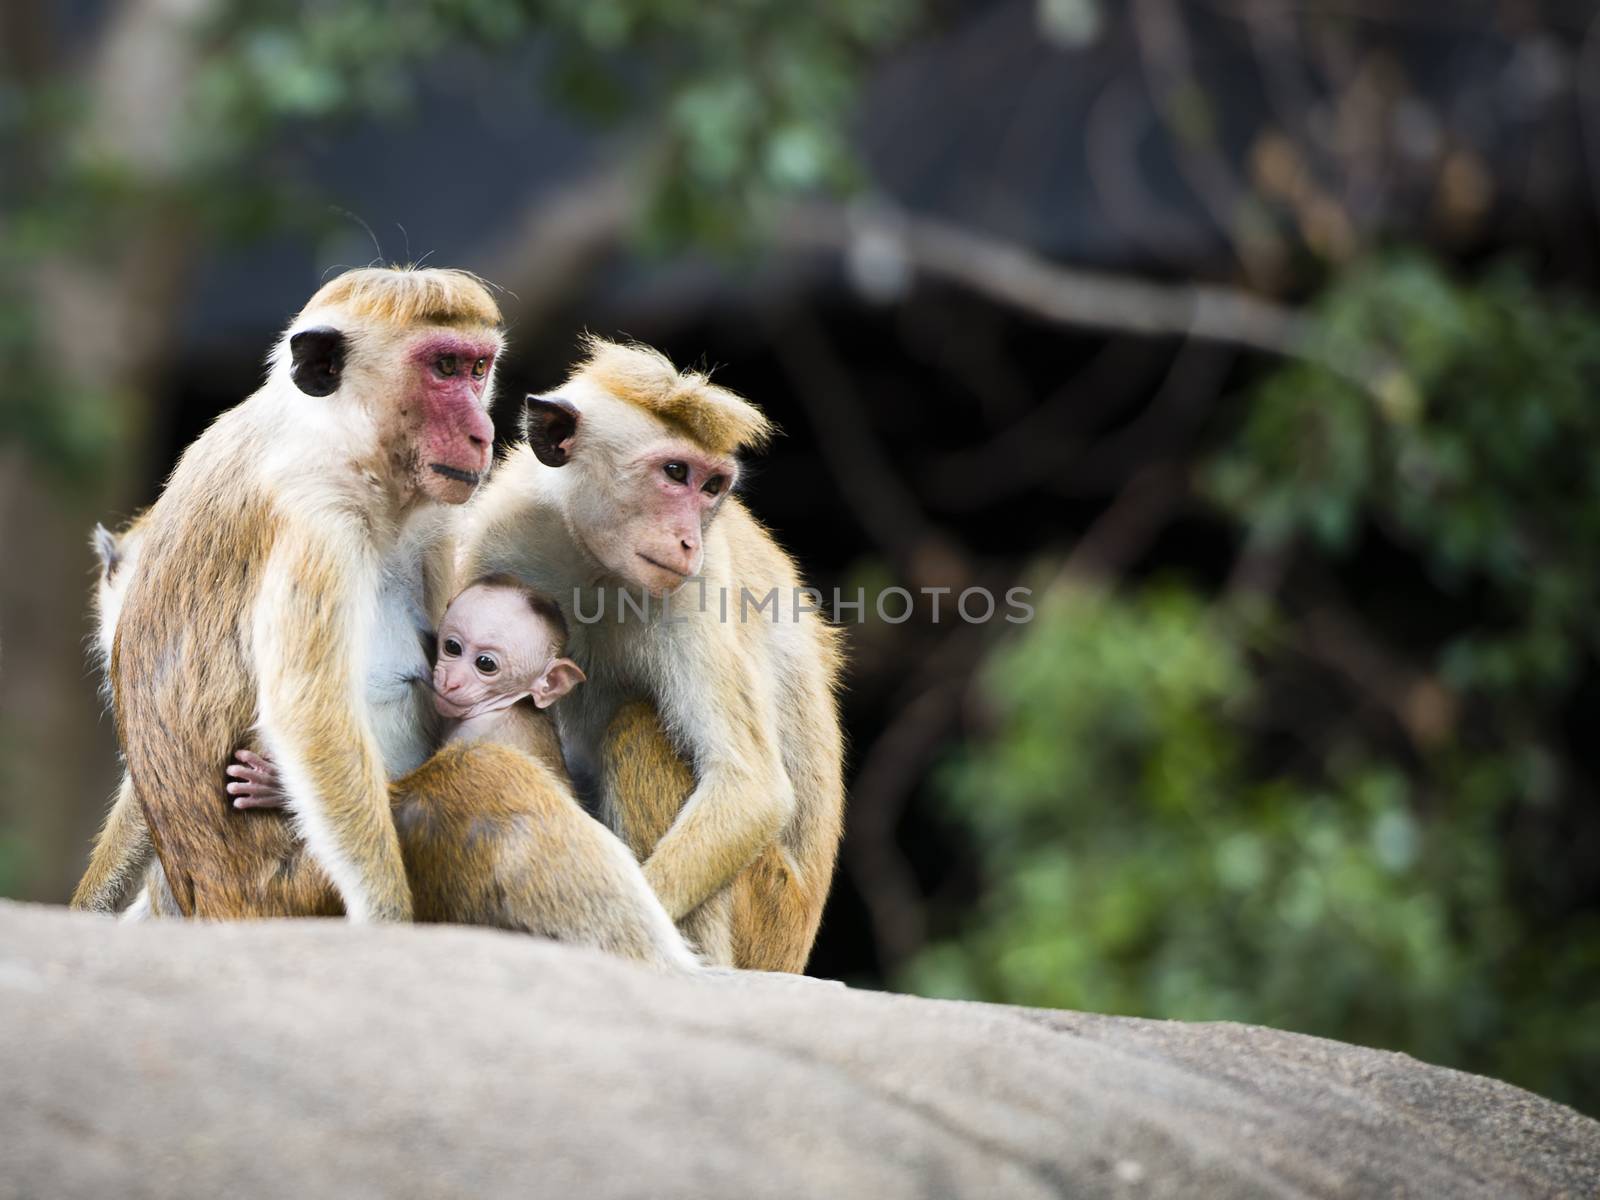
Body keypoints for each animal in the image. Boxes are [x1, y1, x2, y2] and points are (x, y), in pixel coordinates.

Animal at [70, 267, 694, 972]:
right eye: (443, 367)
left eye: (478, 368)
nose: (482, 431)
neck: (322, 433)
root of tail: (217, 907)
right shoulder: (321, 517)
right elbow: (312, 714)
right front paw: (387, 920)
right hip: (297, 896)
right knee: (484, 780)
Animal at [464, 334, 851, 972]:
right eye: (675, 473)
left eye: (712, 487)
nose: (689, 540)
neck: (594, 566)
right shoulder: (491, 540)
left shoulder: (700, 590)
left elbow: (751, 791)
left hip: (769, 913)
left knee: (641, 727)